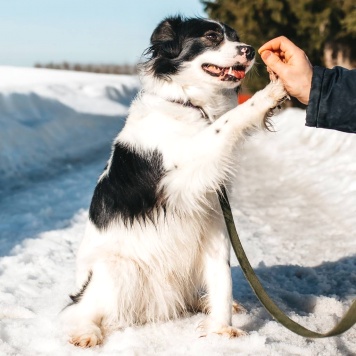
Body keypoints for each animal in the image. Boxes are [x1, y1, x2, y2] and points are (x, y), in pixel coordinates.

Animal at [60, 15, 286, 346]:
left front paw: (220, 329)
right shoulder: (185, 167)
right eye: (211, 36)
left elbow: (222, 277)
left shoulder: (213, 218)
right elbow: (228, 121)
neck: (191, 102)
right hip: (117, 270)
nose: (250, 50)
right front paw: (273, 90)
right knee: (79, 311)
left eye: (235, 36)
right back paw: (86, 333)